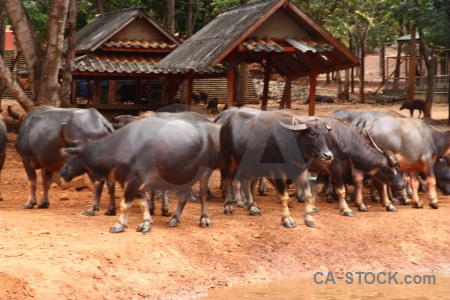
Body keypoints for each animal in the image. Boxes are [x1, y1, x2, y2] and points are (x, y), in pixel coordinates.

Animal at [59, 113, 221, 233]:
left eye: (72, 155)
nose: (62, 172)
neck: (120, 148)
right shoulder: (138, 184)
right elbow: (143, 203)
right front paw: (146, 223)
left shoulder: (133, 181)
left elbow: (125, 204)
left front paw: (119, 225)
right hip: (181, 175)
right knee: (183, 196)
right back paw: (174, 219)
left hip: (205, 172)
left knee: (202, 194)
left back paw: (204, 219)